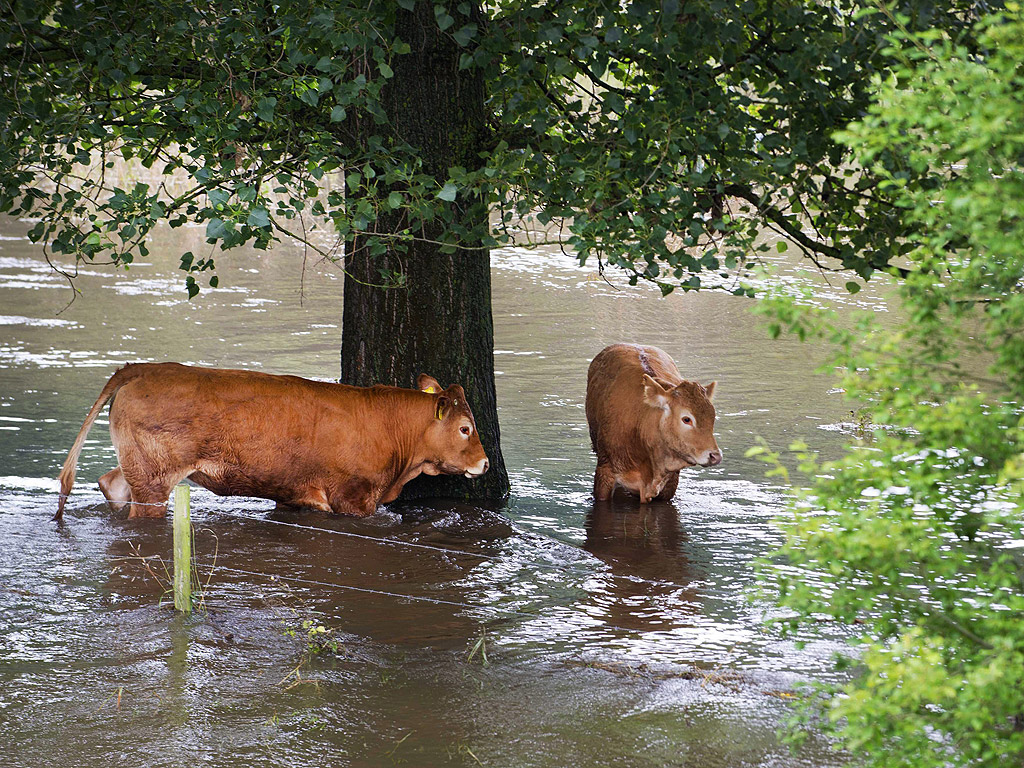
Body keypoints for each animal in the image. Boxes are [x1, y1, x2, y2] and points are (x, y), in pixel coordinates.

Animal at [55, 362, 487, 520]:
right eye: (466, 428)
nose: (484, 463)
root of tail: (144, 368)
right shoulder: (354, 498)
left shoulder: (294, 494)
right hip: (154, 479)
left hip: (138, 466)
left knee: (111, 483)